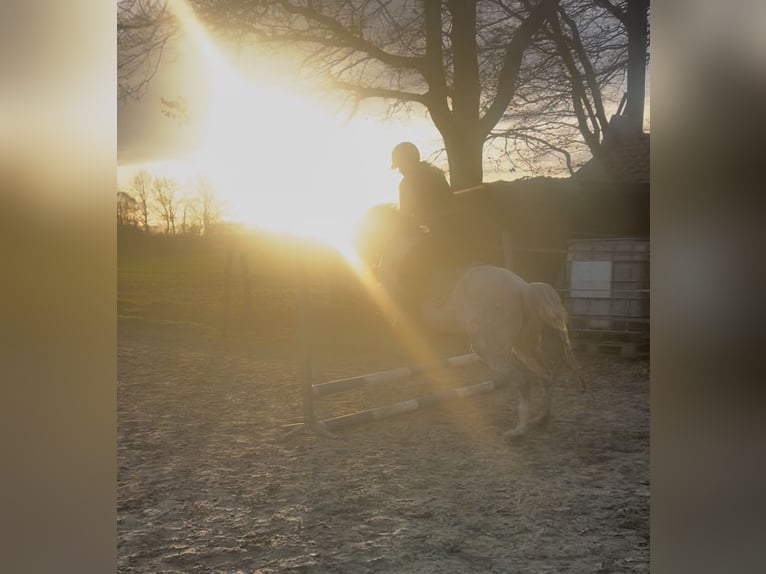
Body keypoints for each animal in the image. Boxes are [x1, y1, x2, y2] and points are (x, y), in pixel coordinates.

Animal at [354, 203, 582, 440]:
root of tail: (523, 288)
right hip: (525, 346)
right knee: (546, 374)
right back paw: (541, 418)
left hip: (491, 349)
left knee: (523, 379)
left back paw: (518, 431)